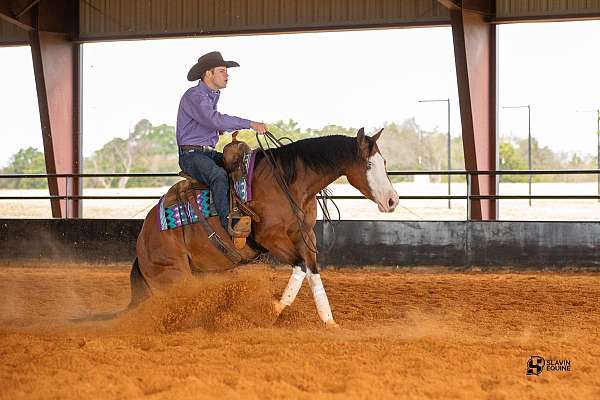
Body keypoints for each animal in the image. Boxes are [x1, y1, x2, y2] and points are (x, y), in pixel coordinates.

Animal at [134, 127, 400, 324]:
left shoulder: (305, 235)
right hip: (174, 276)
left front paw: (329, 321)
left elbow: (312, 272)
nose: (392, 200)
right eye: (368, 165)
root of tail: (144, 240)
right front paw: (272, 310)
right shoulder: (270, 238)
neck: (288, 182)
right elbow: (300, 267)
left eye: (385, 162)